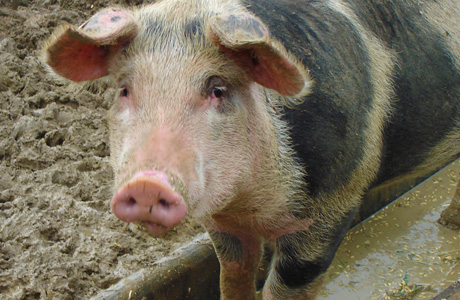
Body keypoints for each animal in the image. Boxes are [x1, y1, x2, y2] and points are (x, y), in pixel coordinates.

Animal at [44, 0, 460, 300]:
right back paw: (446, 224)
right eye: (125, 90)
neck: (250, 203)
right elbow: (233, 277)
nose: (147, 183)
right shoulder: (223, 226)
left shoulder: (334, 205)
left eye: (218, 89)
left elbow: (284, 287)